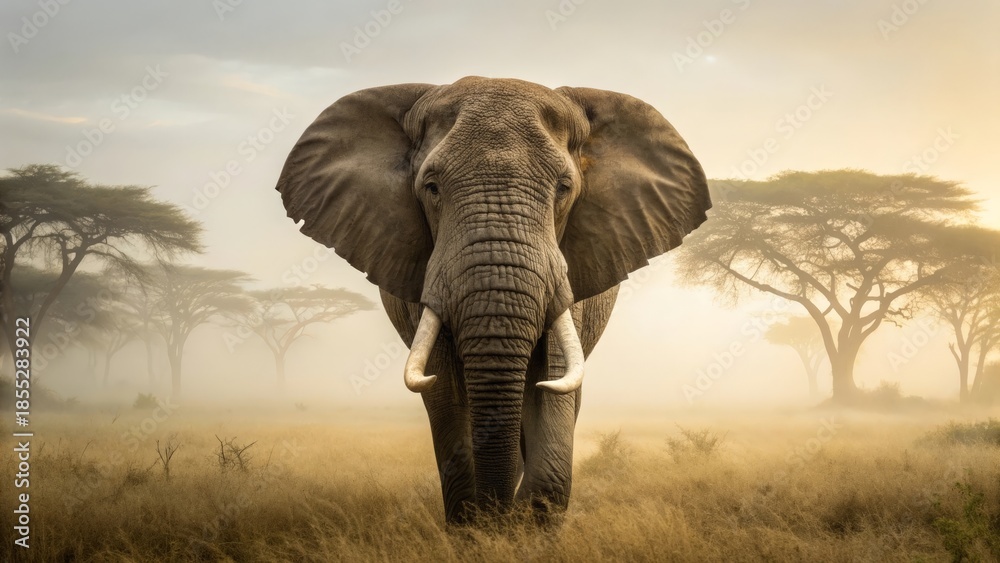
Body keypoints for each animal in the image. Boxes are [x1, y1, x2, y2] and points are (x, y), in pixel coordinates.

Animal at [275, 76, 710, 524]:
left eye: (564, 189)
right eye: (431, 188)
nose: (496, 519)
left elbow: (551, 387)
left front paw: (517, 526)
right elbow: (447, 396)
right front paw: (478, 527)